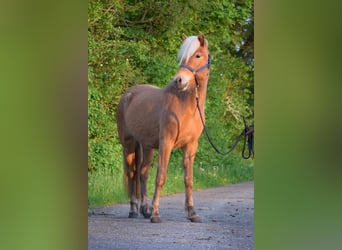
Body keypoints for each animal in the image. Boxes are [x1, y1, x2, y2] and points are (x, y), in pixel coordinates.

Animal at [116, 31, 210, 223]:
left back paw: (145, 209)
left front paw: (192, 213)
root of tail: (127, 95)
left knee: (142, 173)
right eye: (182, 57)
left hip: (146, 146)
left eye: (198, 55)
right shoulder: (166, 143)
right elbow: (160, 177)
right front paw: (156, 214)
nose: (179, 80)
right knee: (131, 174)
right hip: (129, 145)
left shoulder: (191, 146)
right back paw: (134, 210)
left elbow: (188, 179)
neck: (186, 107)